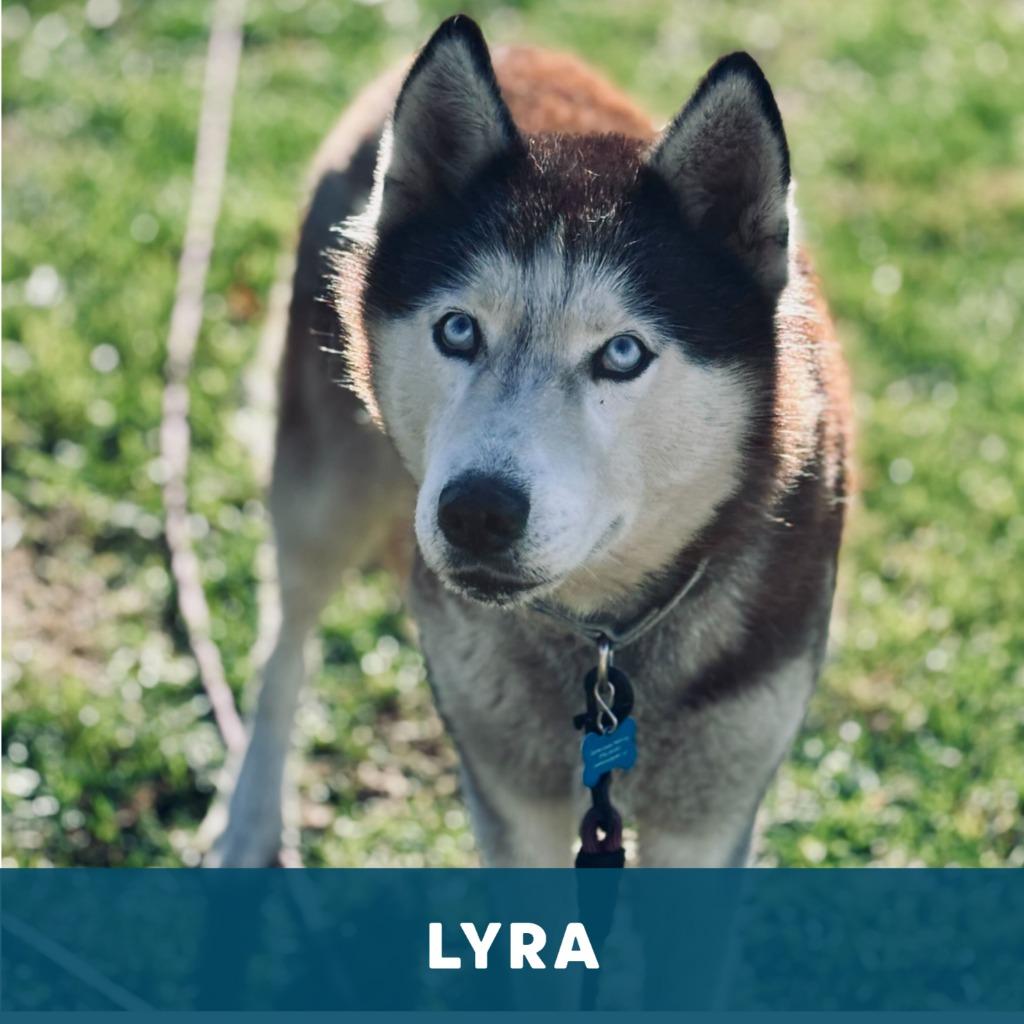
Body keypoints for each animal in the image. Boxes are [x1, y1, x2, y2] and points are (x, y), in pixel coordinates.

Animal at [209, 15, 850, 867]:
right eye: (458, 330)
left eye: (622, 353)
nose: (476, 512)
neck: (606, 642)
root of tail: (519, 43)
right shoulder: (512, 801)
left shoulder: (711, 815)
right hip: (320, 495)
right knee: (285, 642)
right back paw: (249, 817)